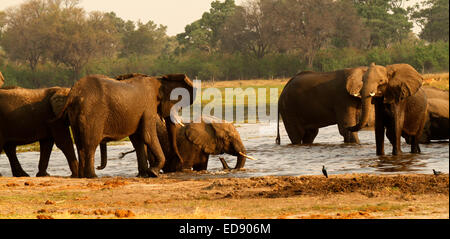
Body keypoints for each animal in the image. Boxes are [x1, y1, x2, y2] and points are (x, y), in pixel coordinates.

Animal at [56, 74, 195, 178]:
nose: (179, 162)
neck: (159, 80)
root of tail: (72, 93)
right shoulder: (148, 106)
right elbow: (147, 135)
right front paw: (153, 173)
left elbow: (137, 140)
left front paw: (144, 174)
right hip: (91, 113)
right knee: (90, 143)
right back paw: (92, 176)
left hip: (75, 114)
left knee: (79, 142)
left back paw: (82, 176)